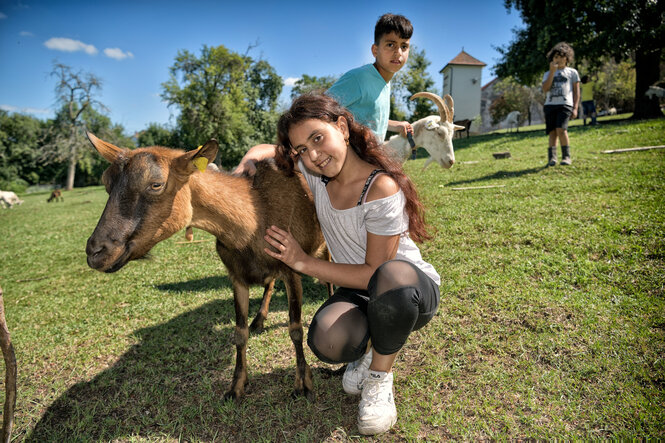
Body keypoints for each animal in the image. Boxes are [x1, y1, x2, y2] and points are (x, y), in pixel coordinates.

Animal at [85, 132, 330, 402]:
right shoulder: (237, 276)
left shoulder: (291, 269)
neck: (254, 218)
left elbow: (295, 329)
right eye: (106, 183)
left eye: (156, 184)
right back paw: (259, 320)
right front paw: (236, 386)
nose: (95, 252)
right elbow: (239, 333)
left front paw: (303, 383)